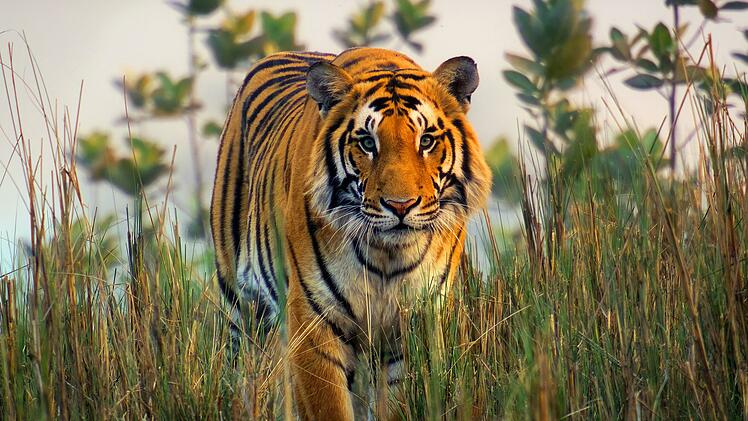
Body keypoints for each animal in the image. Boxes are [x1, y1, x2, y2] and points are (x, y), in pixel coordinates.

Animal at [210, 47, 490, 420]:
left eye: (426, 141)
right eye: (368, 143)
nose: (400, 206)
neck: (387, 255)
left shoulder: (415, 320)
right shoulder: (314, 318)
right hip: (242, 305)